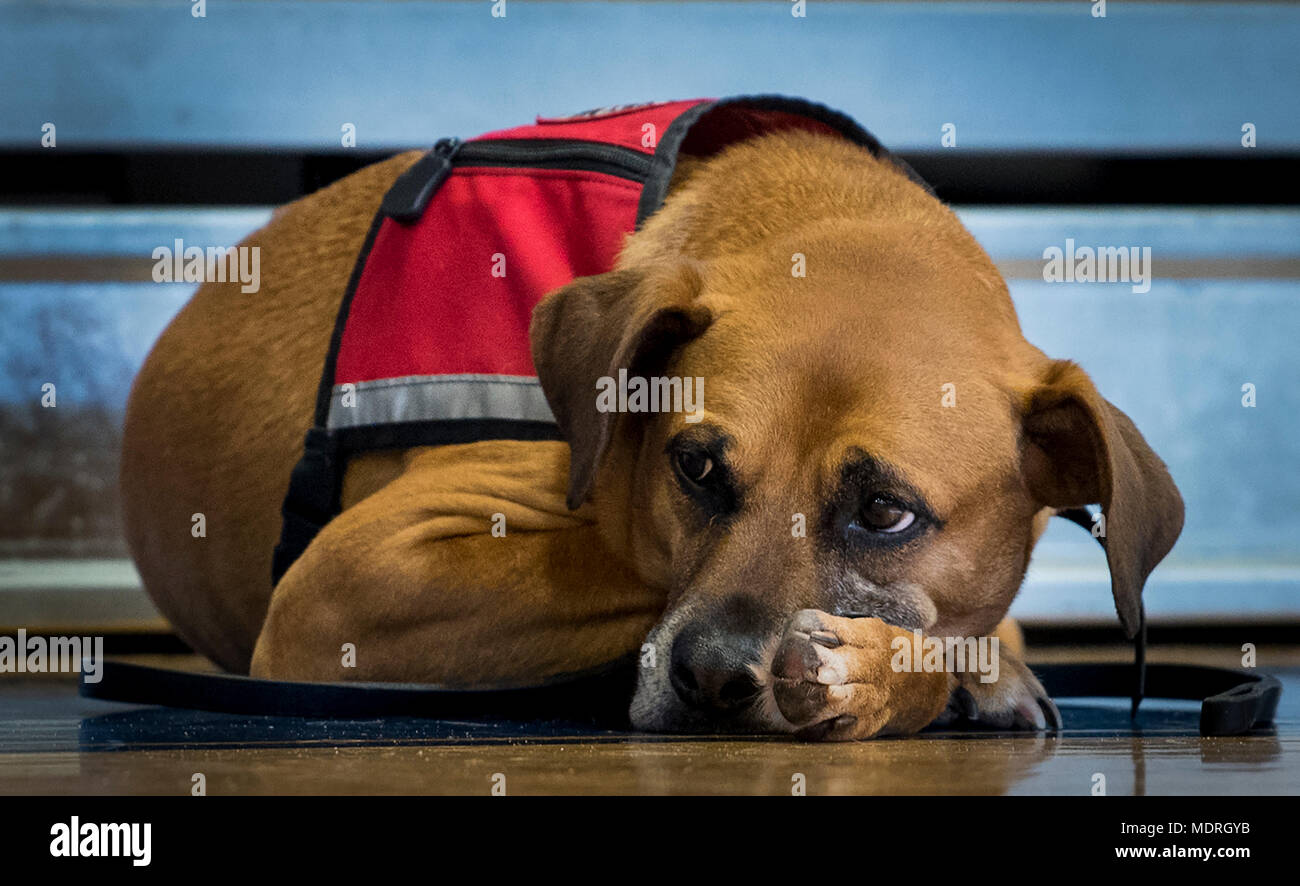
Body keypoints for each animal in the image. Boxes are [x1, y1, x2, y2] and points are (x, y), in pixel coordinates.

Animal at [116, 96, 1185, 732]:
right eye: (695, 468)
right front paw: (919, 669)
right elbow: (633, 568)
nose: (710, 681)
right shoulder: (347, 584)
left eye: (886, 512)